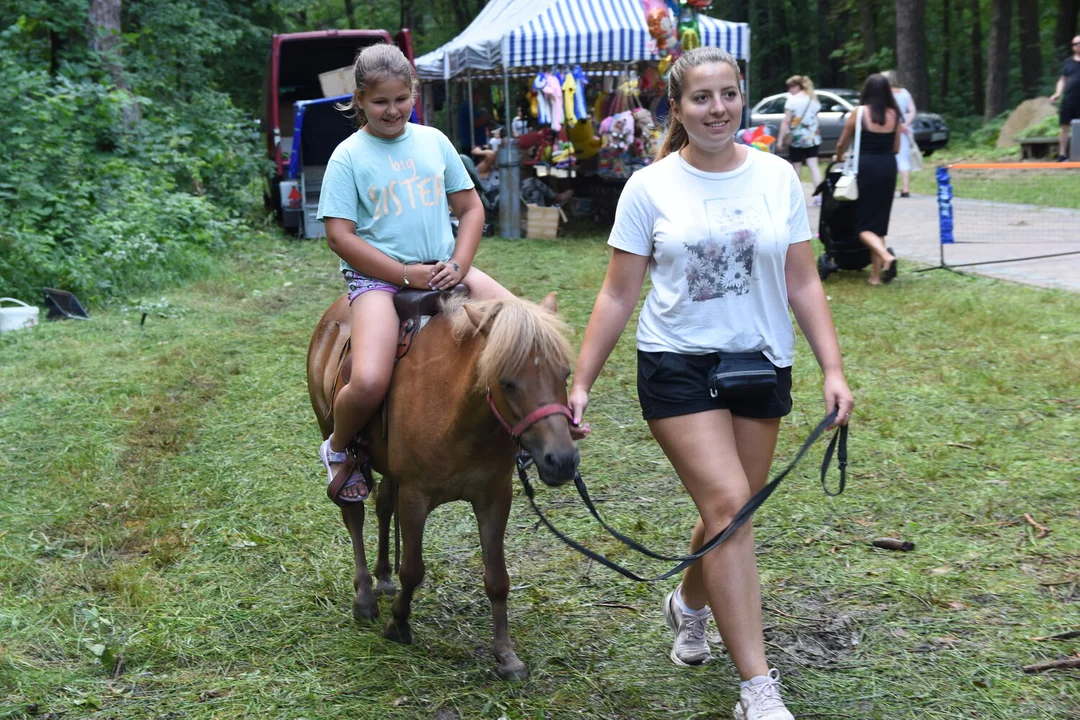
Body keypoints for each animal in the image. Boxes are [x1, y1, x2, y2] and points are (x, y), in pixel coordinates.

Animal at [308, 289, 578, 682]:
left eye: (565, 373)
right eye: (507, 380)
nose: (562, 461)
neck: (458, 413)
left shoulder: (494, 497)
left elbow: (497, 578)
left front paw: (506, 655)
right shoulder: (415, 497)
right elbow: (413, 569)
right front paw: (398, 624)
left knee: (382, 505)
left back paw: (383, 578)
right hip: (335, 435)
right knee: (354, 514)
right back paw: (366, 598)